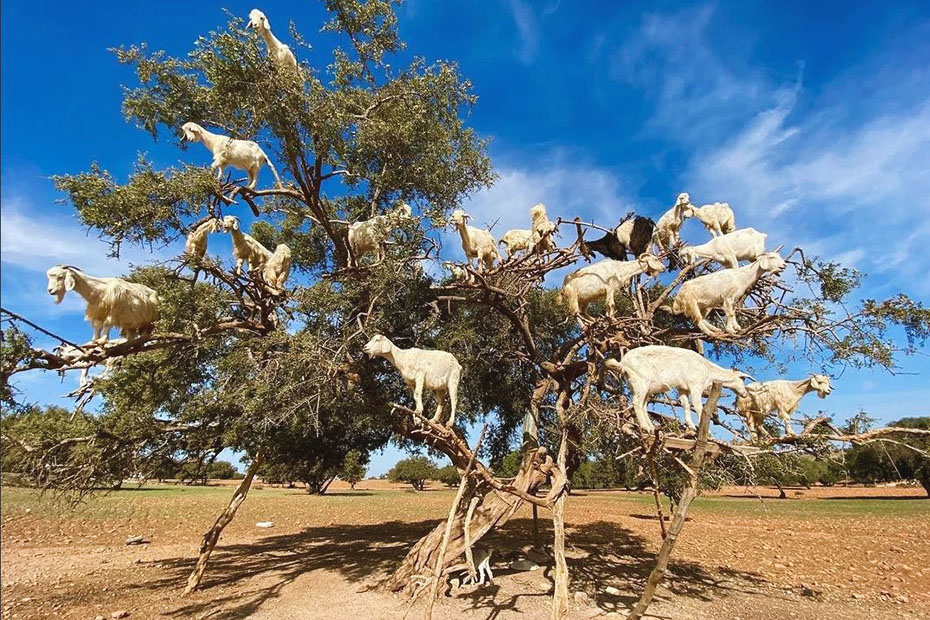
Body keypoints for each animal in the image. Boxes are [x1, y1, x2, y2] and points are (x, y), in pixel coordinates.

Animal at [604, 344, 752, 432]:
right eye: (743, 380)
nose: (745, 394)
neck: (709, 370)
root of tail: (623, 363)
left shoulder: (683, 388)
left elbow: (686, 405)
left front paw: (691, 425)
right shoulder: (695, 385)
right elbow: (699, 407)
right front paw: (706, 431)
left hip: (645, 386)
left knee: (643, 404)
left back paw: (651, 426)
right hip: (641, 381)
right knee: (636, 402)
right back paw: (646, 427)